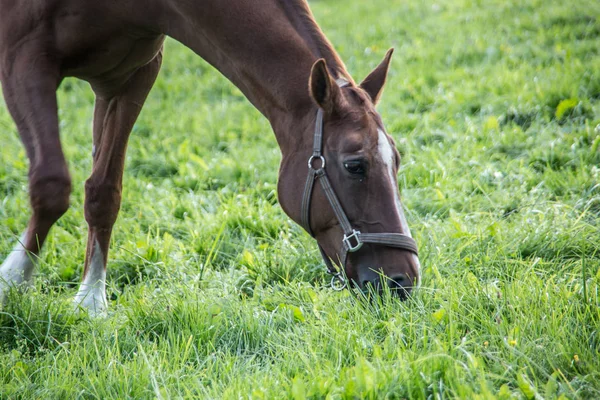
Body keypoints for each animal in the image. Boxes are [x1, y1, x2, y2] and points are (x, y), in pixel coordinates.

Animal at [0, 0, 420, 316]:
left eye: (397, 162)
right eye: (355, 165)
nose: (404, 279)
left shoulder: (129, 77)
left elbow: (104, 192)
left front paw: (90, 302)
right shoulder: (22, 59)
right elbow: (52, 185)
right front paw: (12, 280)